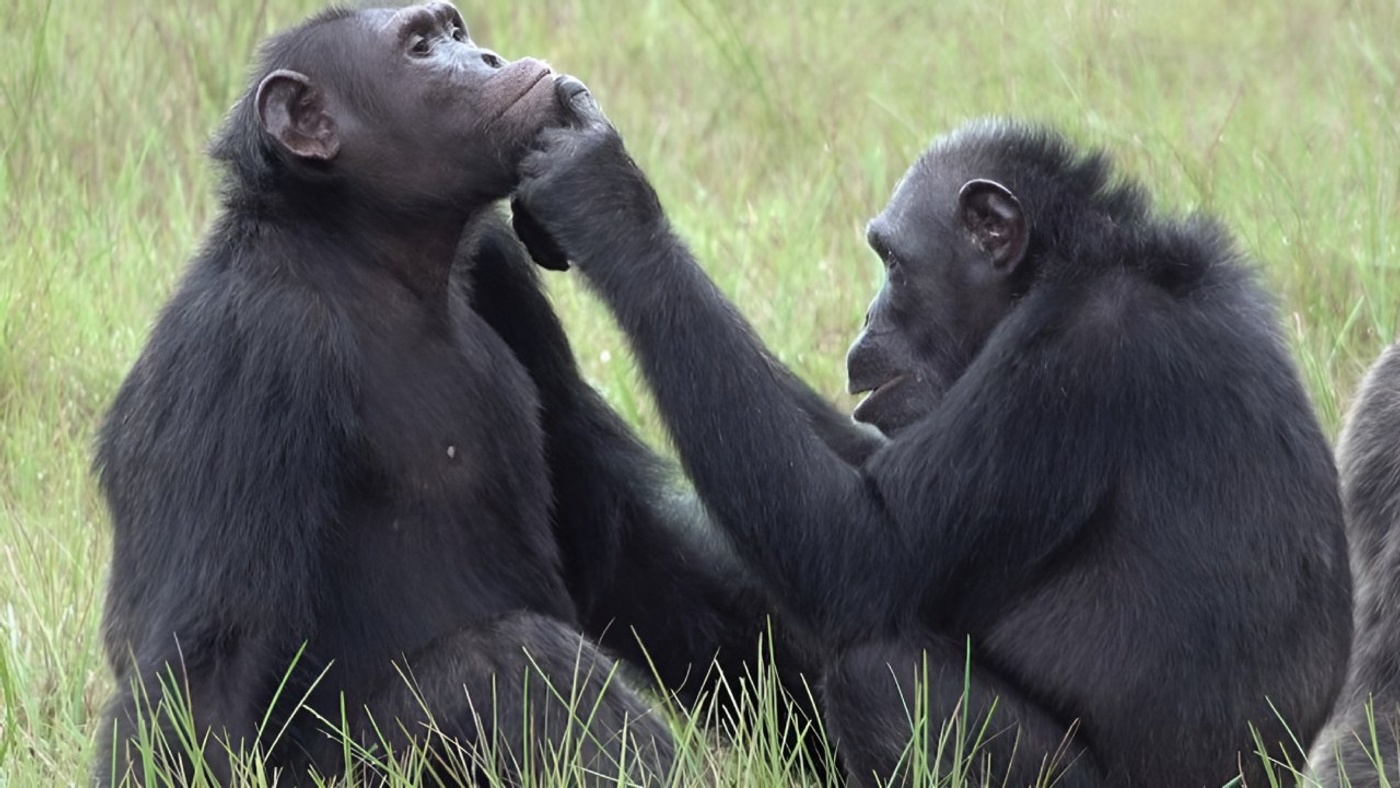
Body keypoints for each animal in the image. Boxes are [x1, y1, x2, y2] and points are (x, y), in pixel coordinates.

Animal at [93, 4, 812, 783]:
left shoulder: (501, 270)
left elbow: (619, 538)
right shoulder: (249, 347)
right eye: (419, 47)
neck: (367, 252)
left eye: (455, 31)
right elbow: (209, 660)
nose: (487, 58)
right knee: (512, 662)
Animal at [512, 81, 1355, 788]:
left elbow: (865, 550)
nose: (867, 316)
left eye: (892, 260)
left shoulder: (1074, 363)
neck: (1068, 266)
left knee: (877, 675)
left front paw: (606, 201)